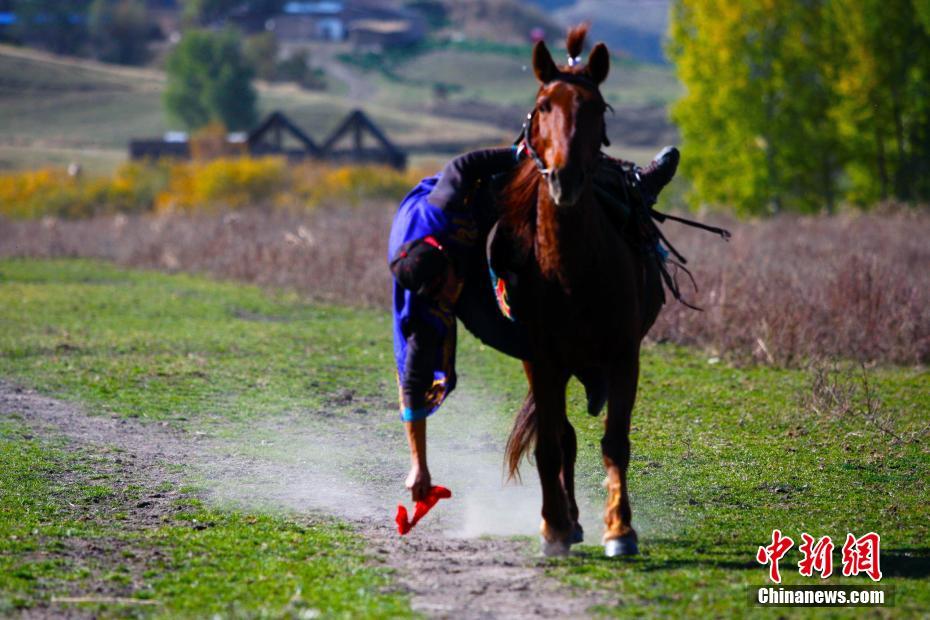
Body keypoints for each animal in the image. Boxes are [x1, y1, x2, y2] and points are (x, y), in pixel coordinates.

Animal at [499, 25, 664, 558]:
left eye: (596, 108)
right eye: (543, 105)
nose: (566, 177)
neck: (571, 273)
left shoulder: (624, 355)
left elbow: (615, 441)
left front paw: (620, 529)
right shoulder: (541, 360)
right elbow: (552, 444)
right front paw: (553, 526)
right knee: (563, 437)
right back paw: (567, 521)